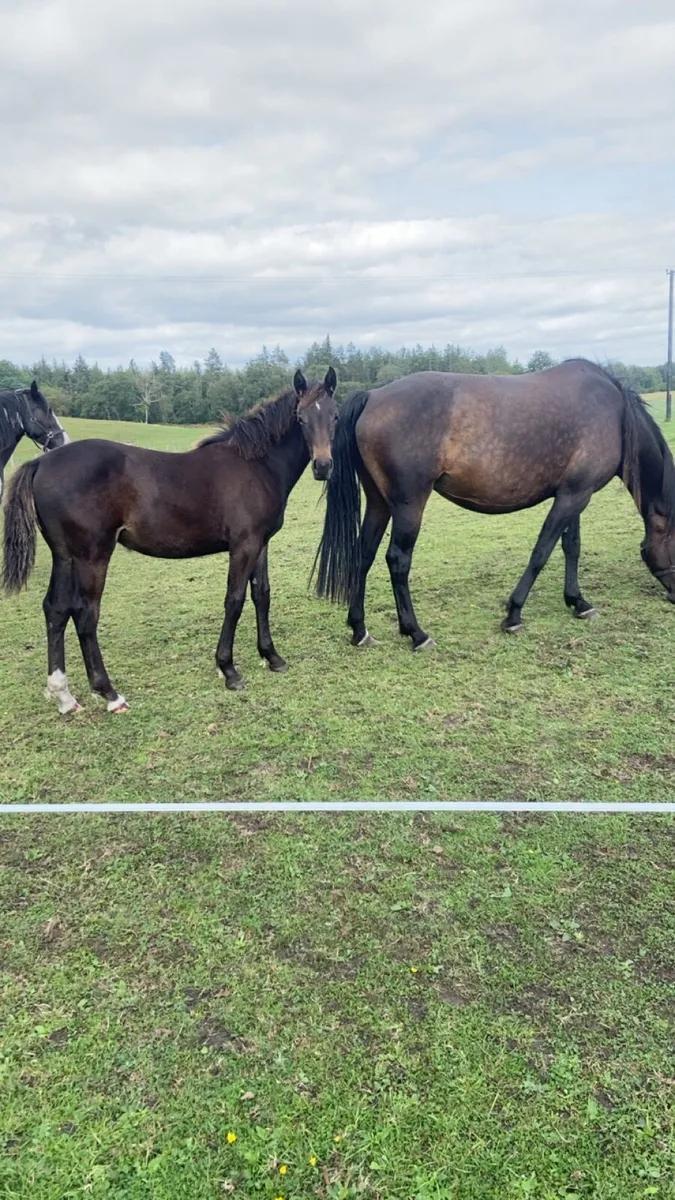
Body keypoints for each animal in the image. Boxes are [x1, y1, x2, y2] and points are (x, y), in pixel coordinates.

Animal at [2, 368, 338, 713]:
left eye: (335, 416)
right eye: (300, 419)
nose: (323, 466)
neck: (256, 465)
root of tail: (41, 462)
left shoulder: (261, 543)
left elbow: (262, 595)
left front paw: (272, 657)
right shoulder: (244, 545)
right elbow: (234, 600)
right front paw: (228, 669)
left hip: (65, 555)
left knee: (56, 609)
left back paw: (64, 695)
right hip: (91, 555)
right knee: (85, 614)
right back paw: (109, 692)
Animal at [314, 359, 675, 649]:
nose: (673, 595)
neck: (614, 413)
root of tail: (373, 397)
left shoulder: (574, 493)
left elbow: (571, 547)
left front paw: (578, 602)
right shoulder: (573, 496)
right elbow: (541, 552)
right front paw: (514, 614)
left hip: (379, 502)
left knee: (363, 555)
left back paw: (359, 630)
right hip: (408, 504)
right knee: (397, 561)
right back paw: (416, 633)